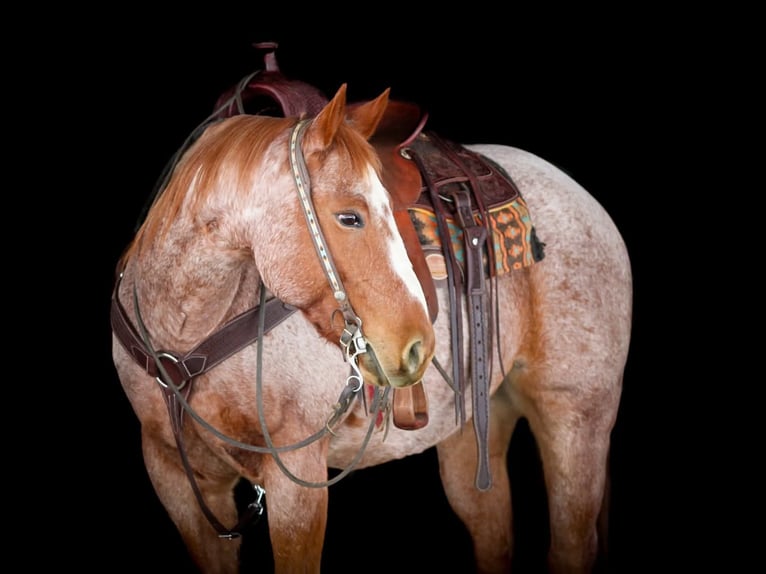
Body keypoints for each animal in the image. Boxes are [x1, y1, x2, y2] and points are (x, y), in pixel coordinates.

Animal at [110, 55, 632, 574]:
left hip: (576, 418)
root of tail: (587, 201)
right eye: (349, 217)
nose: (419, 346)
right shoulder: (176, 478)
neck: (186, 332)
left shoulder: (296, 479)